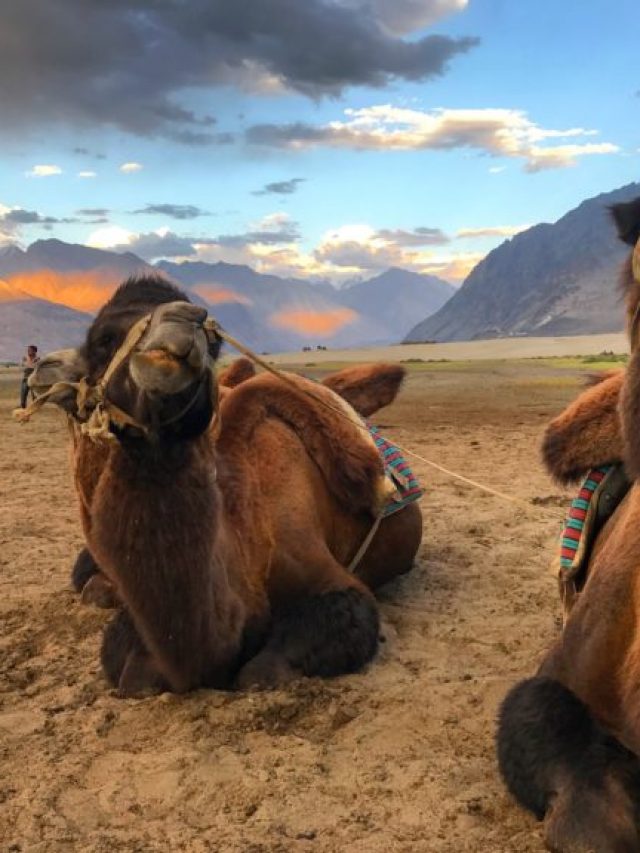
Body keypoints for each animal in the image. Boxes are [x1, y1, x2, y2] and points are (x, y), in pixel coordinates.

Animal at [28, 275, 422, 696]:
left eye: (212, 339)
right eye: (102, 338)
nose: (184, 322)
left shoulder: (329, 579)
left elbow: (260, 673)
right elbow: (133, 673)